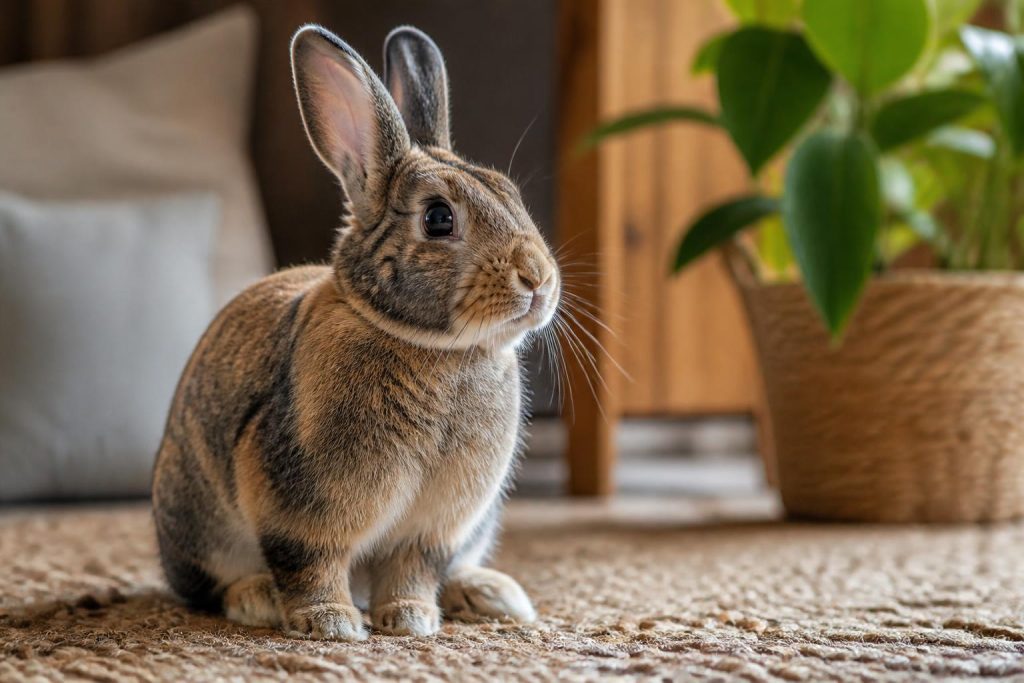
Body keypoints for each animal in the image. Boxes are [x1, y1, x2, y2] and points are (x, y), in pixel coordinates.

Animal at [151, 24, 559, 641]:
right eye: (438, 218)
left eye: (510, 193)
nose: (537, 278)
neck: (433, 348)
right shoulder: (301, 510)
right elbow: (311, 563)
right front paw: (332, 625)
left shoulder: (431, 529)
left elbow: (414, 569)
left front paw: (411, 619)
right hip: (195, 518)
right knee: (207, 585)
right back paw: (257, 598)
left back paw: (491, 595)